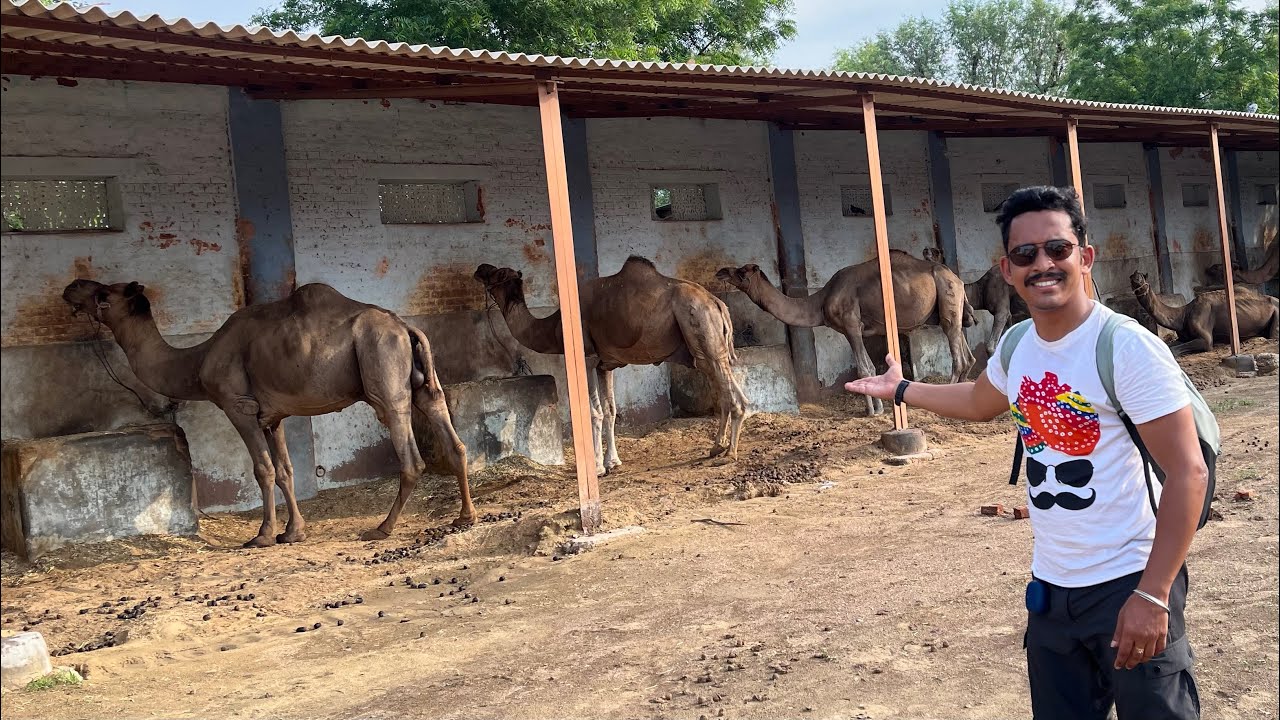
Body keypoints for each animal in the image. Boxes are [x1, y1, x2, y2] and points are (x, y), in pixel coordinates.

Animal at [62, 280, 473, 547]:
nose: (70, 287)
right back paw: (465, 517)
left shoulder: (238, 406)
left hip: (382, 370)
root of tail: (405, 326)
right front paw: (292, 533)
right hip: (421, 381)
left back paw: (381, 529)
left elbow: (263, 470)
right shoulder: (272, 416)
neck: (197, 360)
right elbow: (286, 470)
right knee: (449, 430)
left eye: (103, 293)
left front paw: (261, 536)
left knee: (409, 453)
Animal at [474, 256, 747, 473]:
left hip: (702, 329)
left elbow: (593, 412)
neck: (554, 326)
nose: (479, 268)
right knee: (723, 390)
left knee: (736, 397)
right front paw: (612, 462)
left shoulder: (586, 357)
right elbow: (610, 410)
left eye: (496, 273)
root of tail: (718, 304)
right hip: (704, 346)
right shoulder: (605, 365)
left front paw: (597, 466)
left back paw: (729, 454)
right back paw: (716, 447)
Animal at [717, 250, 975, 416]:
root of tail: (956, 278)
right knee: (966, 350)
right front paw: (877, 408)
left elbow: (864, 368)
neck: (820, 302)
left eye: (741, 272)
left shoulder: (851, 325)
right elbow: (869, 367)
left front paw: (872, 411)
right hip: (952, 305)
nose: (720, 272)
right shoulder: (848, 330)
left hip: (947, 297)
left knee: (957, 352)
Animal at [1129, 271, 1279, 356]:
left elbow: (1175, 350)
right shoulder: (1183, 336)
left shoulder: (1206, 338)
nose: (1134, 278)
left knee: (1273, 335)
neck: (1183, 314)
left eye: (1142, 278)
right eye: (1132, 276)